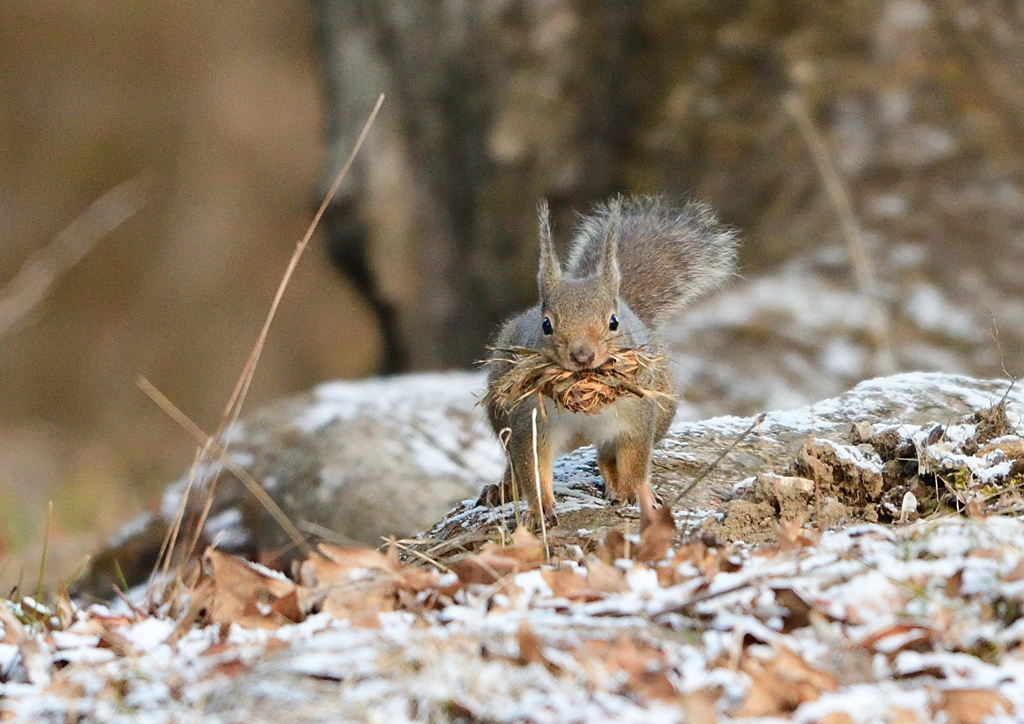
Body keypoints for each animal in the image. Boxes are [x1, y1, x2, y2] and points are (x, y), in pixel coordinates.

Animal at [481, 193, 737, 528]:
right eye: (546, 324)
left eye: (613, 322)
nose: (582, 356)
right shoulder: (530, 417)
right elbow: (531, 467)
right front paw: (540, 511)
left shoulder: (638, 412)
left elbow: (635, 456)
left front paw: (630, 493)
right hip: (499, 407)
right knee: (512, 458)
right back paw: (504, 488)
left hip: (661, 406)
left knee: (607, 454)